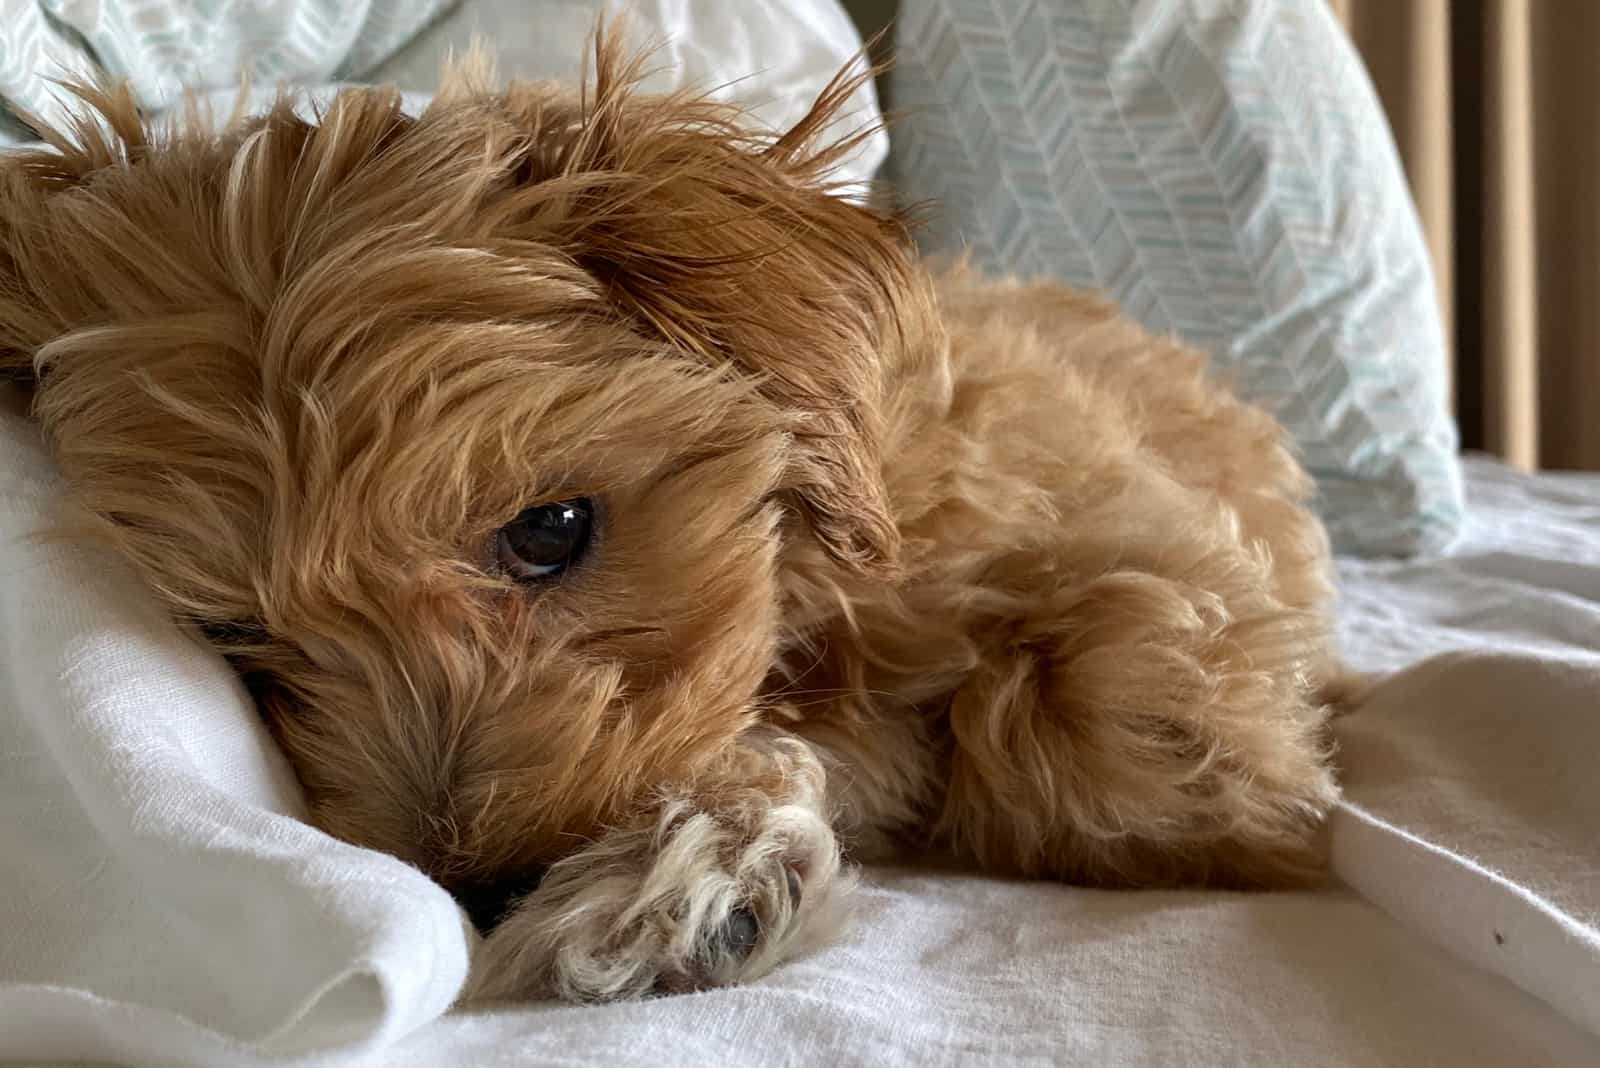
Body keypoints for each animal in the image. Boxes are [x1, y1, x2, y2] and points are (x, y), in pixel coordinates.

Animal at [0, 35, 1344, 1004]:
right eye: (238, 635)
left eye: (551, 528)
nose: (484, 889)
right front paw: (711, 860)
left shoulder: (1144, 558)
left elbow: (1113, 718)